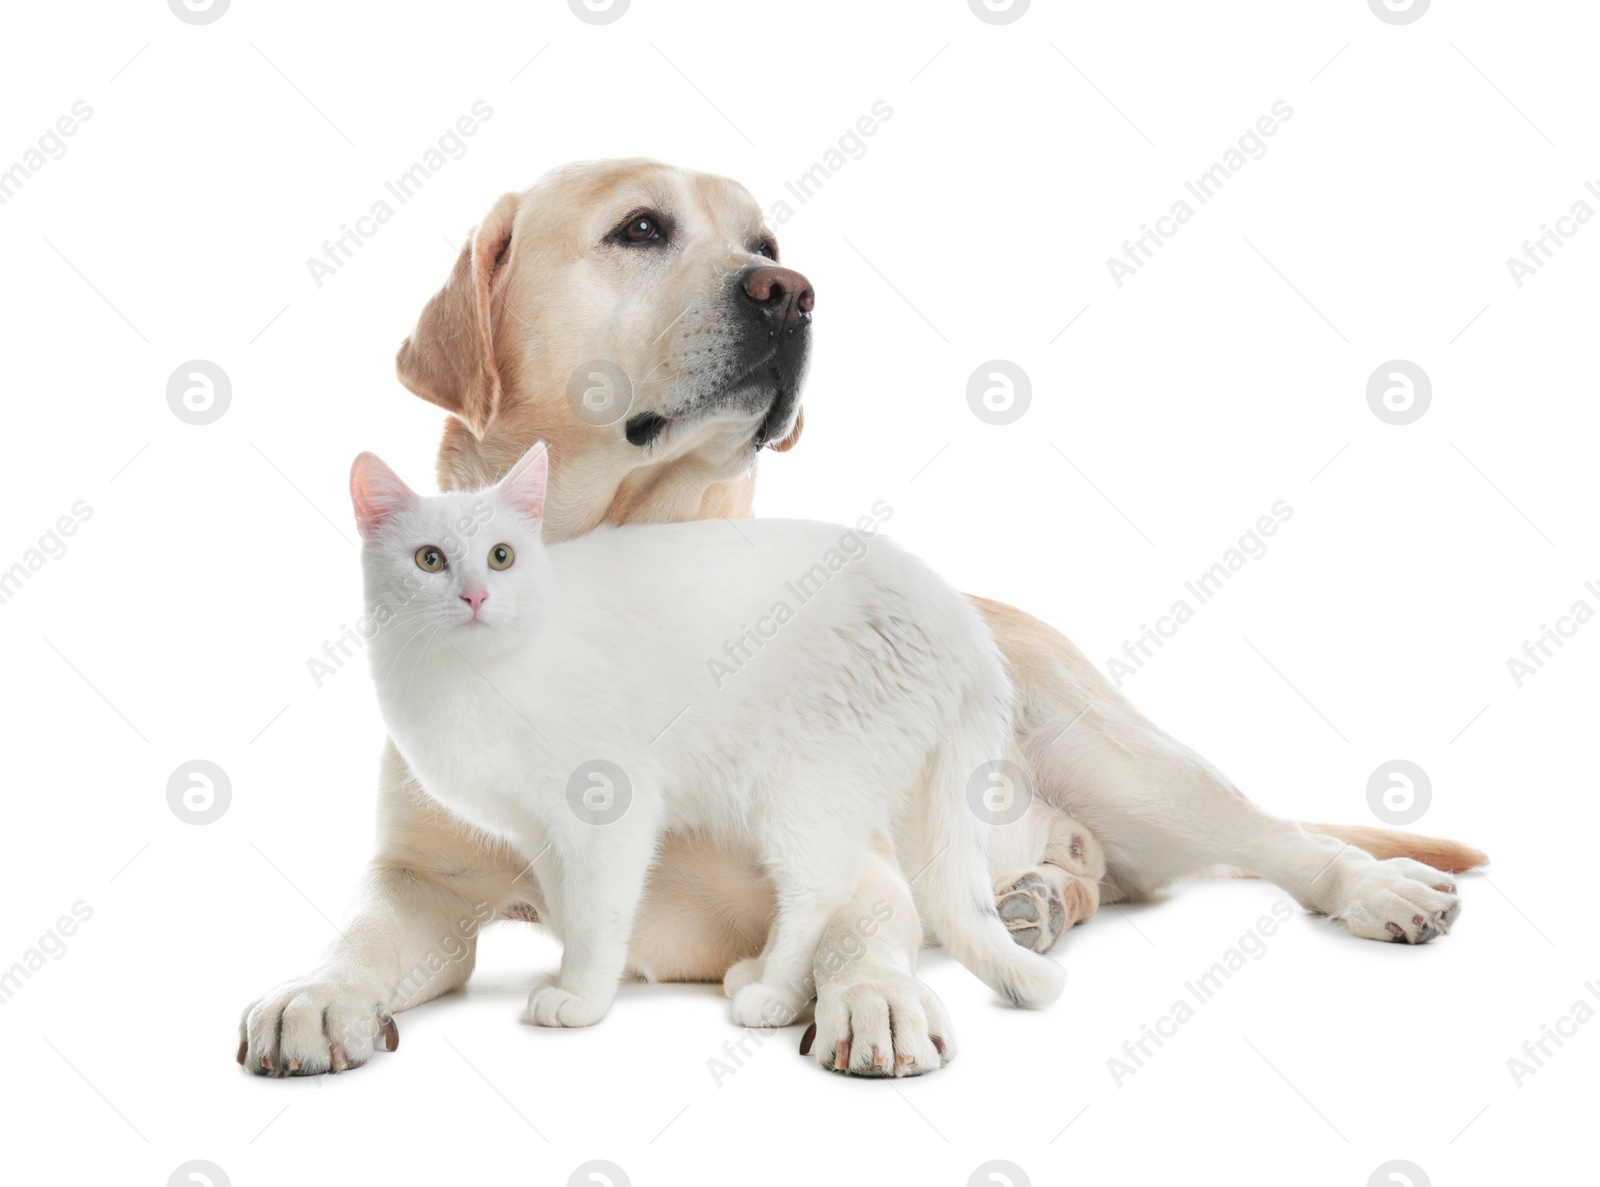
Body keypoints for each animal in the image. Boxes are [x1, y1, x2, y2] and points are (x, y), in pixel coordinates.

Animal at [356, 441, 1068, 1030]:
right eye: (429, 560)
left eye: (501, 557)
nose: (475, 597)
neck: (470, 676)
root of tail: (959, 611)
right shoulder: (541, 833)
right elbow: (568, 905)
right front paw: (575, 980)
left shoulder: (608, 811)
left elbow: (594, 916)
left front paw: (582, 998)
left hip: (805, 787)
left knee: (821, 888)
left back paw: (774, 995)